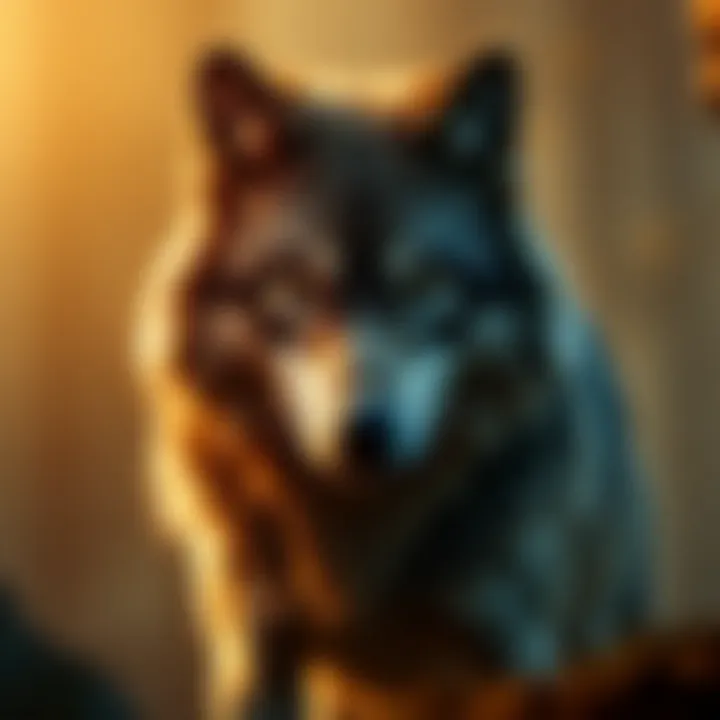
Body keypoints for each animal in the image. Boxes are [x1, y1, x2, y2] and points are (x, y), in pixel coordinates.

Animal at [134, 48, 651, 719]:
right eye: (299, 288)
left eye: (424, 288)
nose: (366, 435)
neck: (362, 545)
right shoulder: (258, 644)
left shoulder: (512, 646)